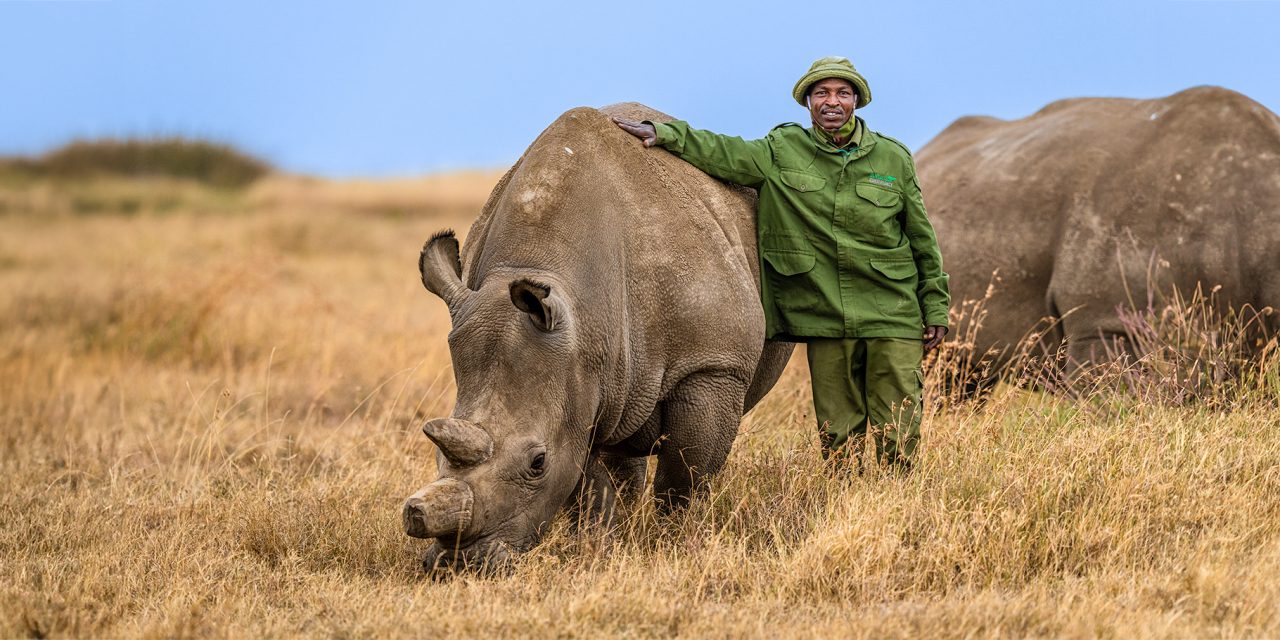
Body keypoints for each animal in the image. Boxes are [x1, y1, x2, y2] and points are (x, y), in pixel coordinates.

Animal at [403, 103, 794, 571]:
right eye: (435, 453)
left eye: (537, 463)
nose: (459, 564)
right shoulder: (575, 380)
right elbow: (586, 484)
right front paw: (599, 546)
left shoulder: (712, 365)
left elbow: (685, 473)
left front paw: (675, 542)